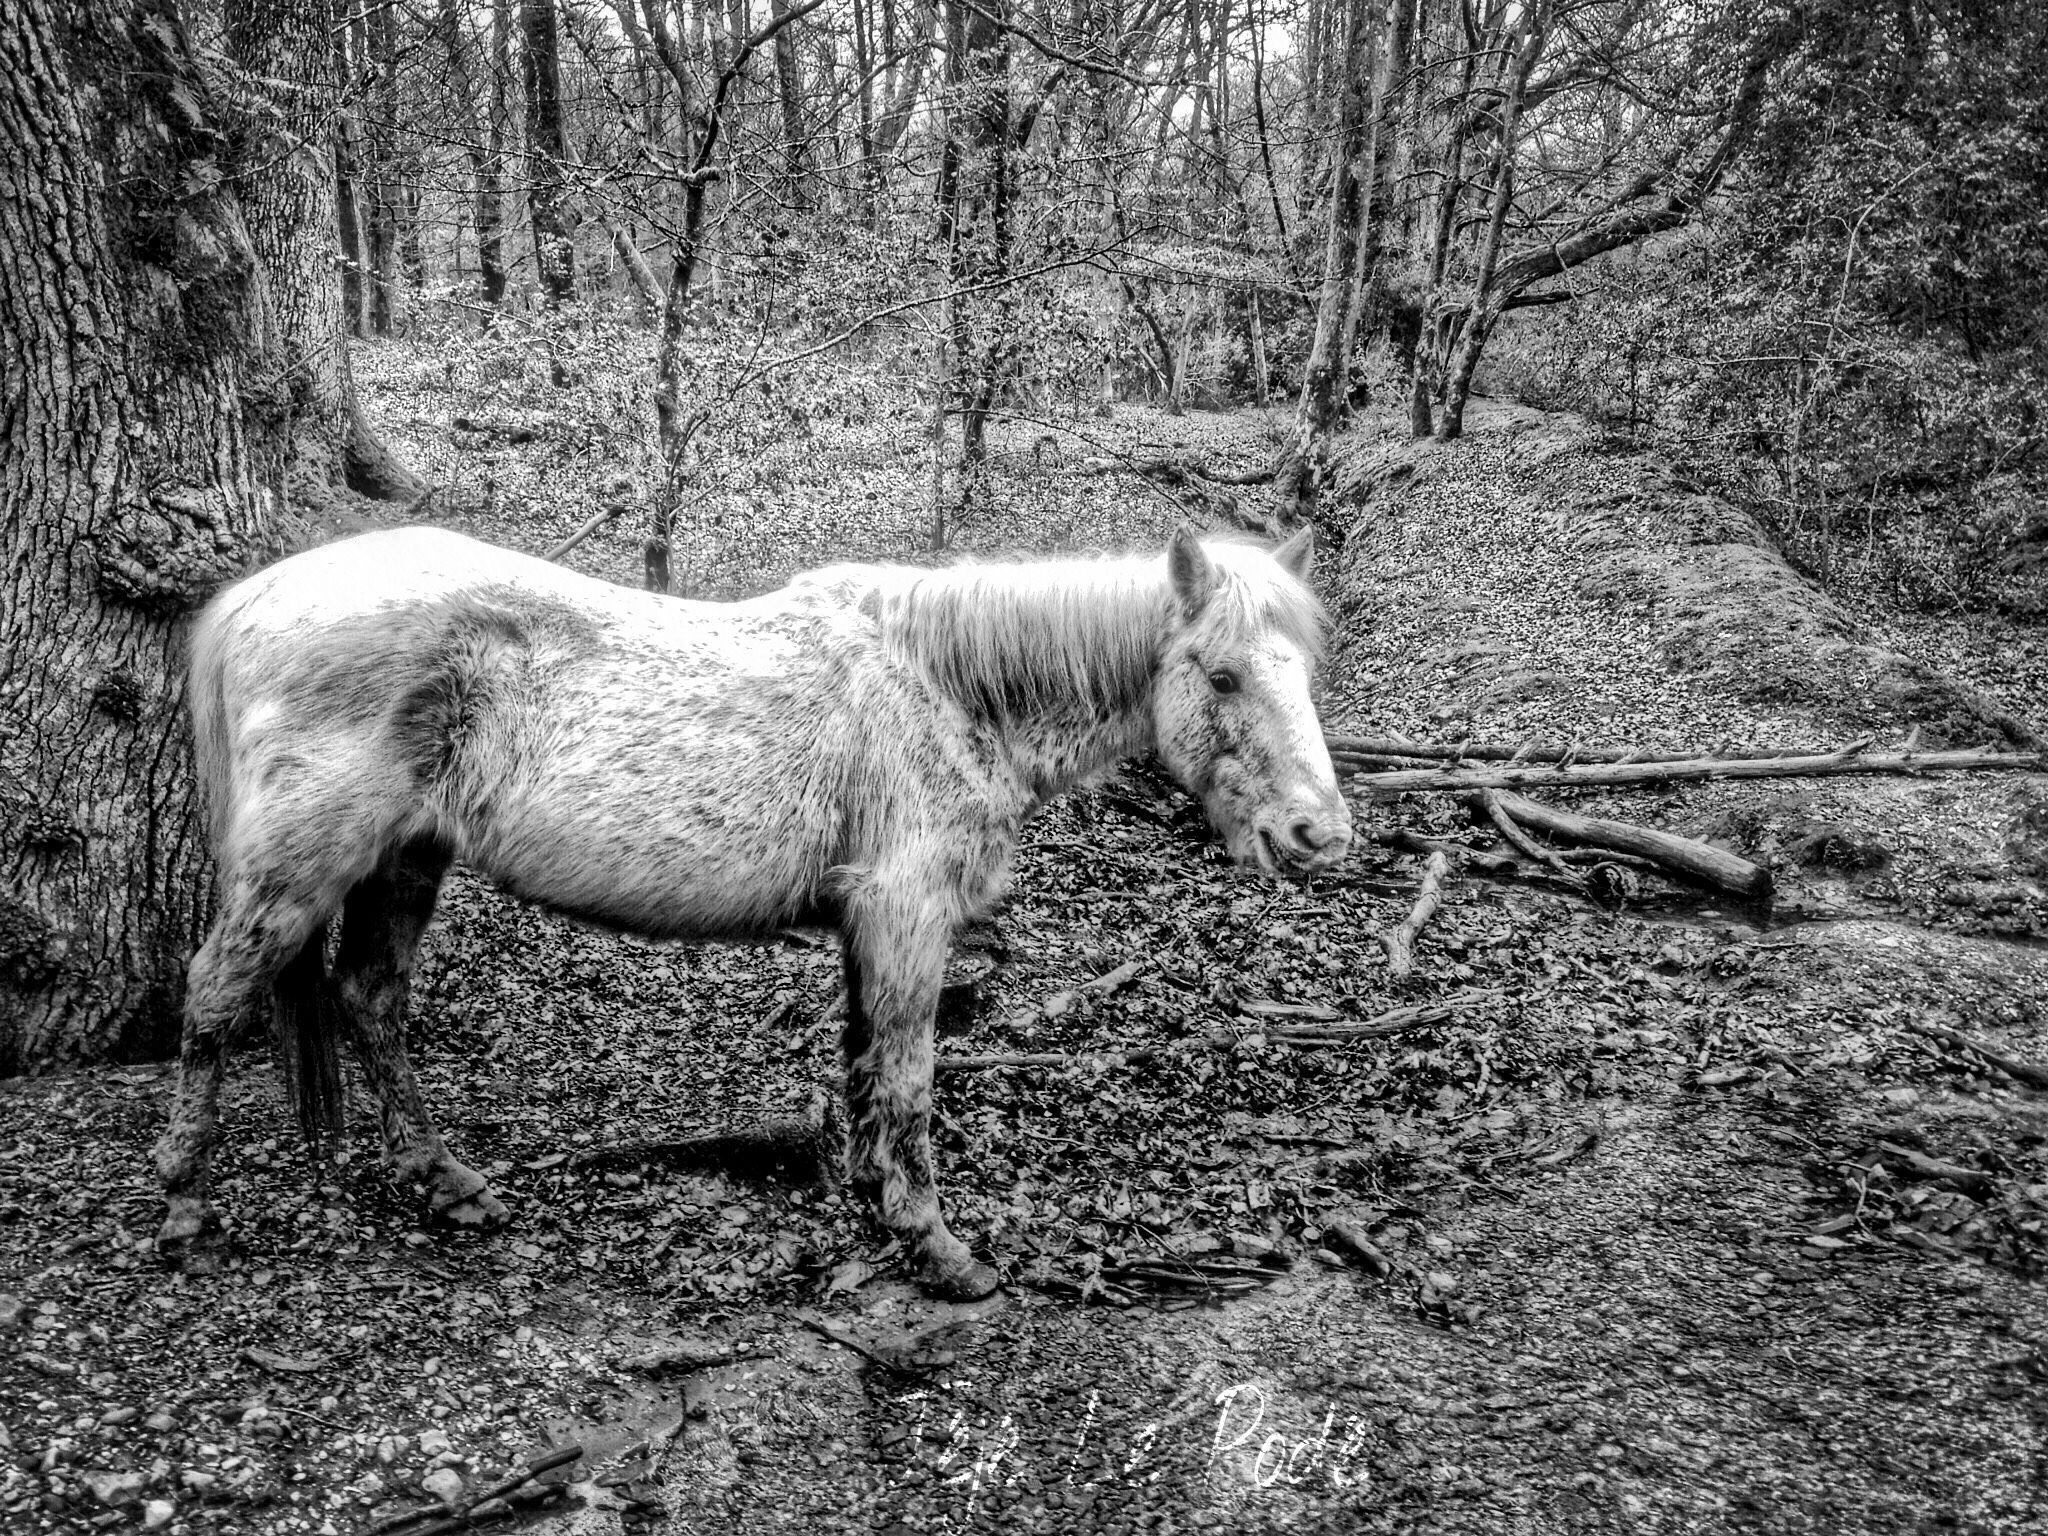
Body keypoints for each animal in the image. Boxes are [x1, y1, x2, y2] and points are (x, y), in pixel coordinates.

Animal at [151, 524, 1351, 1294]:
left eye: (1303, 671)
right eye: (1223, 676)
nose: (1318, 835)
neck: (946, 687)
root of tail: (256, 598)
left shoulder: (872, 925)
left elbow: (864, 1063)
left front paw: (874, 1202)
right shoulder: (908, 913)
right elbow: (908, 1077)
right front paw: (937, 1248)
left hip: (404, 860)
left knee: (369, 998)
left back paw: (445, 1184)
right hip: (302, 865)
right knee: (215, 997)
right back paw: (184, 1206)